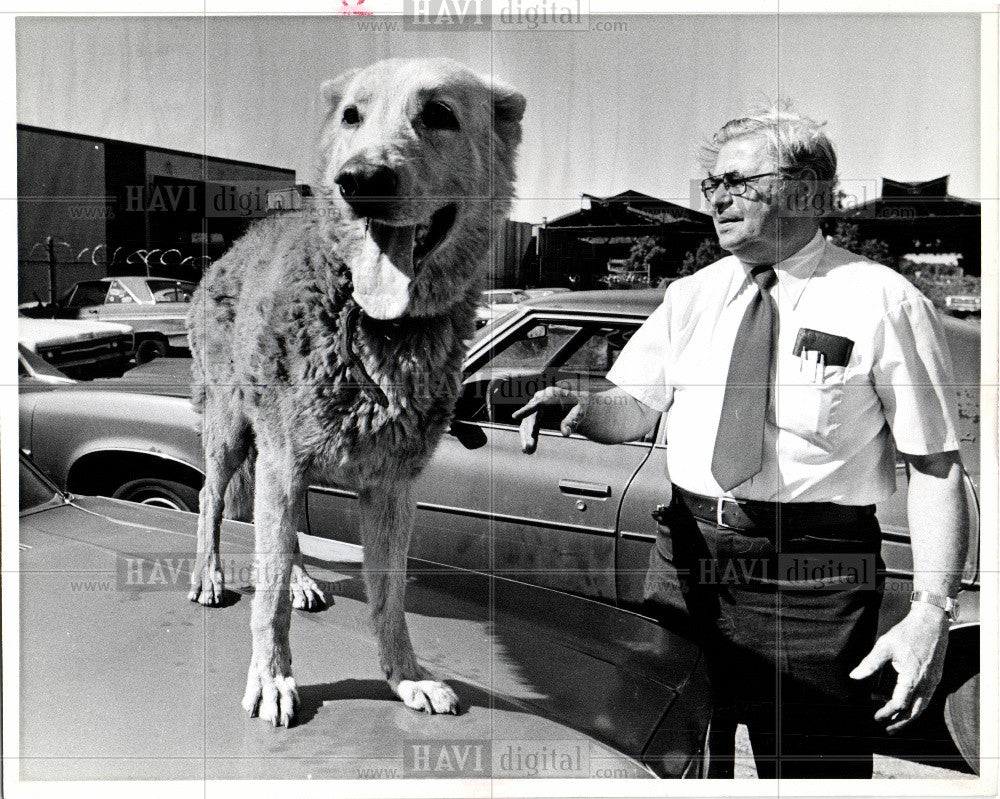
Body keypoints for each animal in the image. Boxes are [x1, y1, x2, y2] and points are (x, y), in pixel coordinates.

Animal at [189, 59, 532, 728]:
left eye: (439, 114)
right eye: (352, 116)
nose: (361, 181)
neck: (376, 327)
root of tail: (233, 247)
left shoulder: (393, 487)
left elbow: (389, 597)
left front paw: (406, 677)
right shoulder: (283, 458)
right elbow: (268, 597)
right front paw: (272, 678)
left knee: (281, 535)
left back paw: (301, 577)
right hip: (231, 431)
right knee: (210, 499)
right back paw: (209, 576)